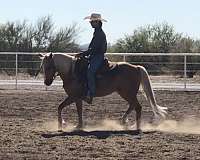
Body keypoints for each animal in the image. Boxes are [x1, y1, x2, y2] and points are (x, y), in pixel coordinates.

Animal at [37, 52, 167, 131]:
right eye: (42, 67)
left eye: (49, 67)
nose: (47, 82)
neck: (72, 71)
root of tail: (136, 67)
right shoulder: (76, 98)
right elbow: (71, 109)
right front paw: (75, 125)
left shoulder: (74, 96)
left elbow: (64, 108)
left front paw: (64, 125)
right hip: (125, 93)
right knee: (132, 106)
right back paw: (124, 121)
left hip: (127, 93)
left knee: (137, 107)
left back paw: (136, 126)